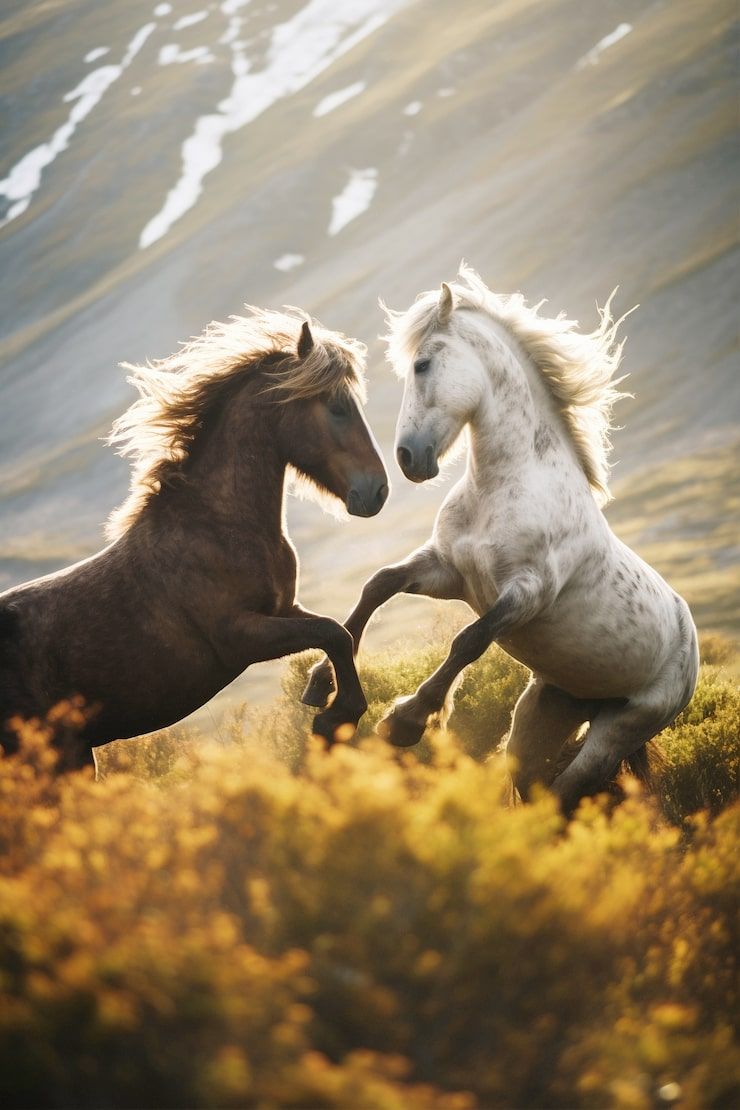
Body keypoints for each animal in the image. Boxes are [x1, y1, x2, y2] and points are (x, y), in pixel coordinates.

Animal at [0, 307, 388, 770]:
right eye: (337, 407)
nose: (378, 490)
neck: (215, 524)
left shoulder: (283, 609)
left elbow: (339, 632)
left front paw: (323, 697)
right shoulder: (240, 638)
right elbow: (333, 633)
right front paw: (334, 719)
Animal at [302, 265, 699, 814]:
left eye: (422, 364)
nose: (407, 458)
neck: (506, 486)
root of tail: (691, 650)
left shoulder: (526, 594)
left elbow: (469, 640)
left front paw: (406, 720)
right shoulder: (449, 571)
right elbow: (378, 586)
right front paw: (323, 687)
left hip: (620, 729)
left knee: (567, 790)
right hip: (541, 712)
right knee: (530, 783)